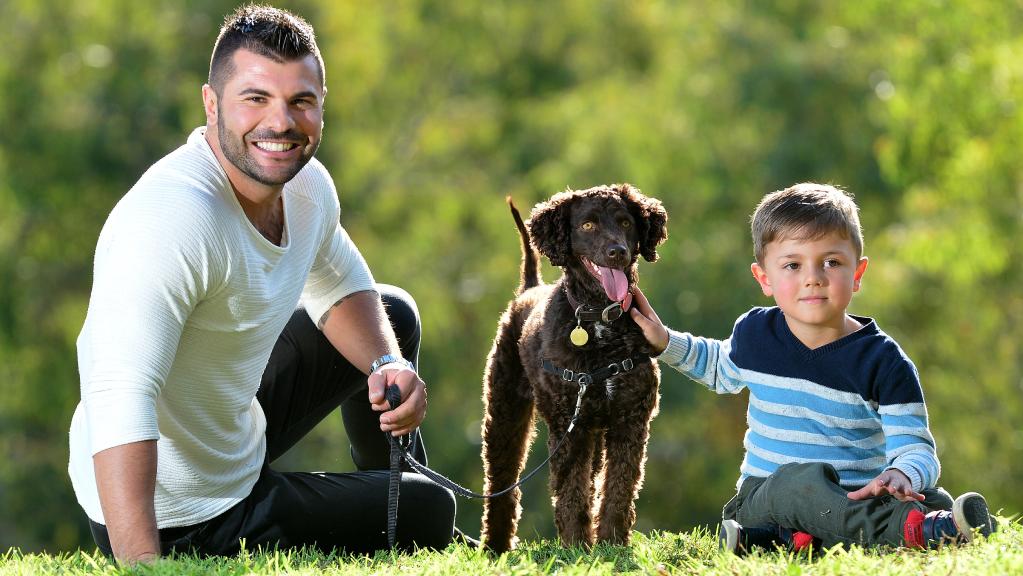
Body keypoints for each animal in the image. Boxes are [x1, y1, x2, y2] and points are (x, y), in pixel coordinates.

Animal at [480, 185, 666, 552]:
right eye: (588, 225)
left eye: (626, 222)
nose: (618, 253)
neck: (600, 320)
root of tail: (529, 288)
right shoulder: (569, 426)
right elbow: (570, 489)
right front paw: (577, 546)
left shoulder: (629, 421)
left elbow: (618, 487)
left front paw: (612, 543)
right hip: (505, 411)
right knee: (501, 480)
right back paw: (495, 545)